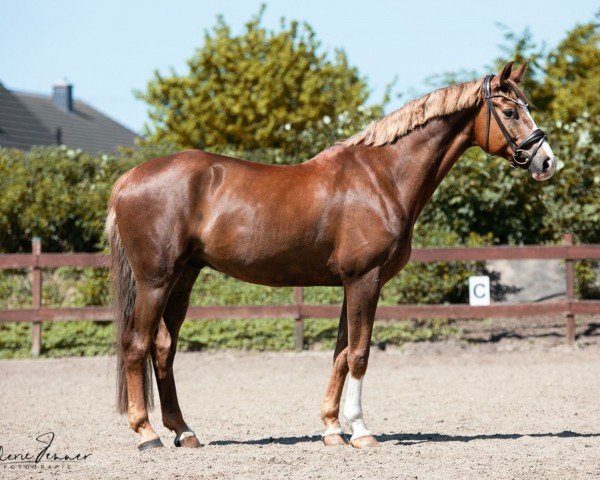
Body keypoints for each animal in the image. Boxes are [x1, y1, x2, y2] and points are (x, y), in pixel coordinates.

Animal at [105, 62, 556, 450]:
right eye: (510, 111)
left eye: (528, 107)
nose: (547, 161)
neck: (381, 176)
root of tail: (128, 179)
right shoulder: (365, 279)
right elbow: (359, 353)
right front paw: (361, 430)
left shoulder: (350, 284)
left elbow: (341, 353)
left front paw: (332, 429)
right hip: (155, 281)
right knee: (136, 345)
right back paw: (146, 434)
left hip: (183, 278)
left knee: (163, 348)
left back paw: (184, 431)